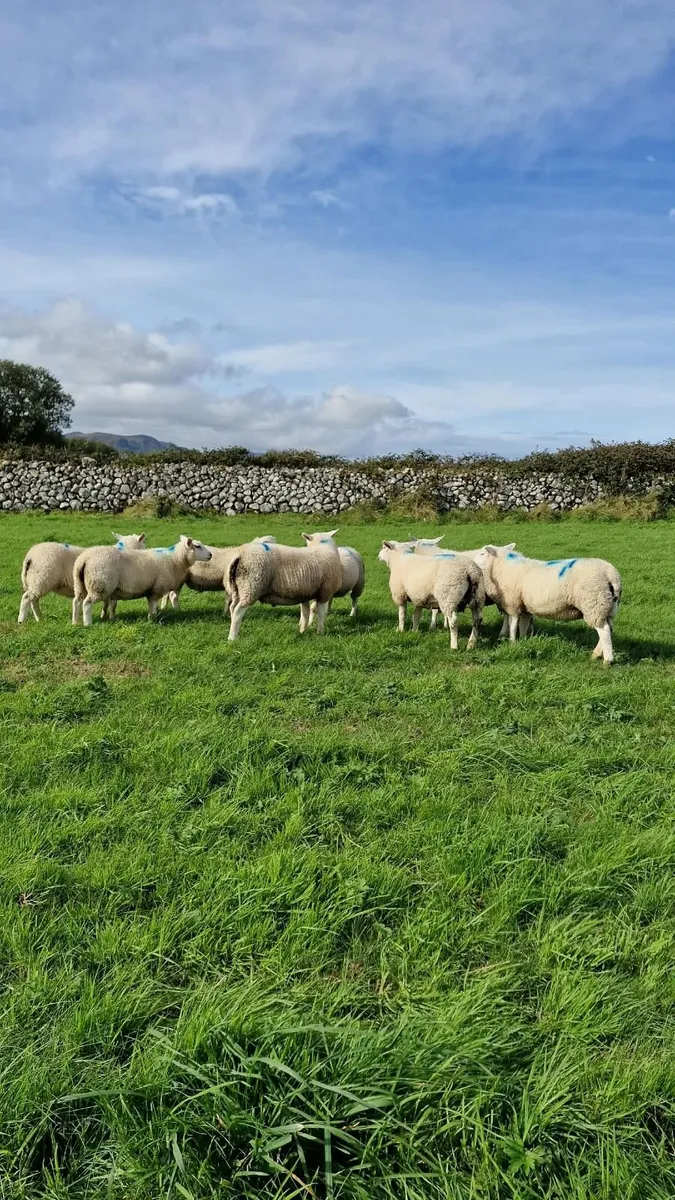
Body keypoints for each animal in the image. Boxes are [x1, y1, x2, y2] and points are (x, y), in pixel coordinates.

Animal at [73, 536, 212, 626]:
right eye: (197, 546)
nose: (210, 555)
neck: (174, 559)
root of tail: (84, 559)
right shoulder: (157, 588)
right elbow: (153, 606)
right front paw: (152, 620)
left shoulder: (152, 589)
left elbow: (152, 605)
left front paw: (152, 618)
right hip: (99, 584)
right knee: (86, 603)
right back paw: (87, 623)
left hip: (80, 584)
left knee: (76, 601)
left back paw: (75, 622)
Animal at [474, 545, 621, 663]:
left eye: (482, 553)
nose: (472, 562)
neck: (503, 567)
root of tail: (611, 574)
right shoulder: (525, 607)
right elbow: (523, 625)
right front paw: (523, 641)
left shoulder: (513, 604)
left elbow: (513, 626)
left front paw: (512, 643)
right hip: (608, 607)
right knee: (609, 628)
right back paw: (596, 654)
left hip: (594, 603)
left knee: (604, 630)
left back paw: (607, 660)